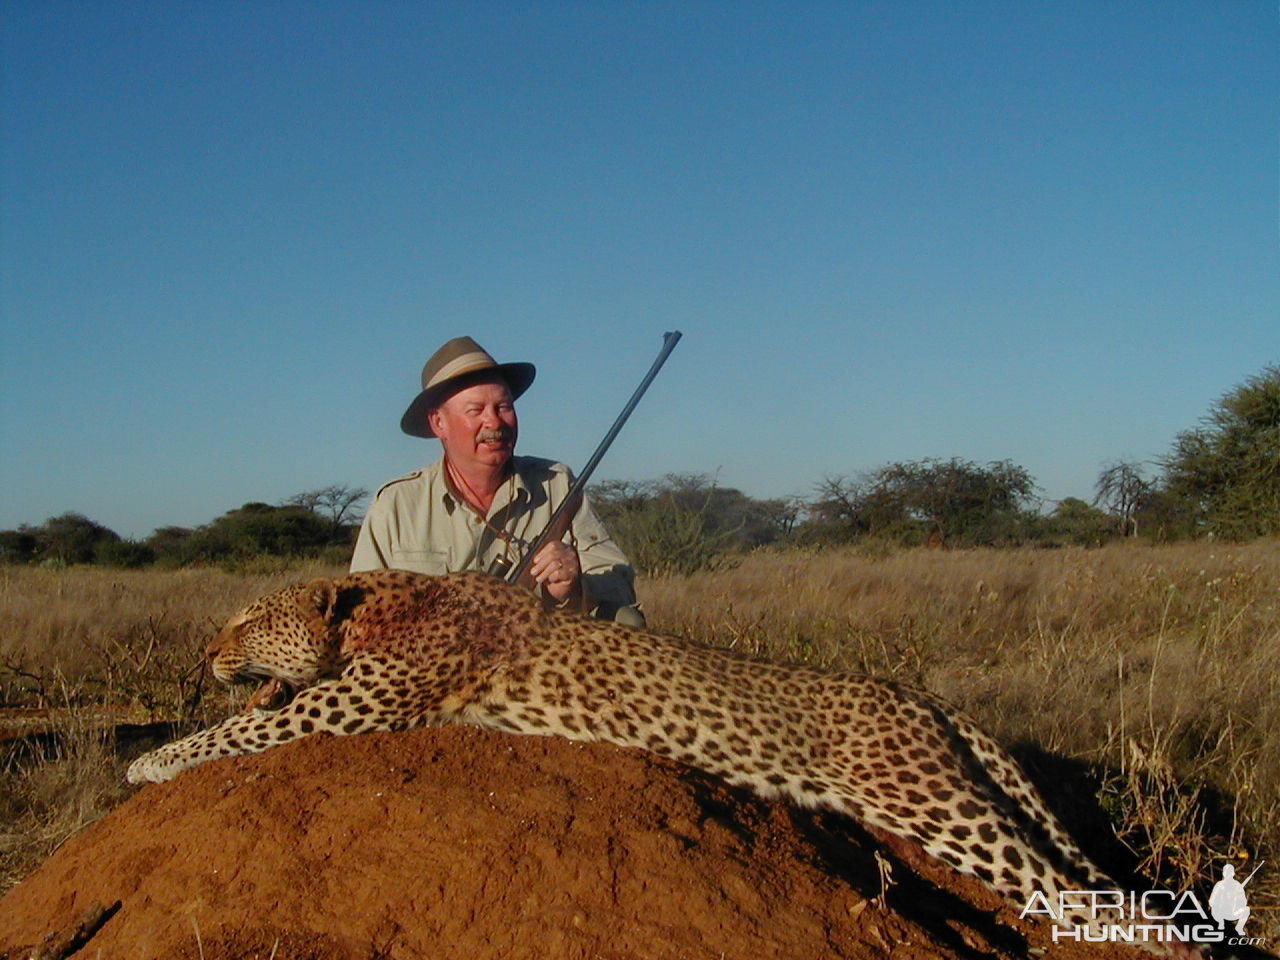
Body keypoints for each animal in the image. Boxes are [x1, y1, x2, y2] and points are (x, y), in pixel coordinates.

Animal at [127, 570, 1131, 947]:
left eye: (248, 621)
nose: (208, 655)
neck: (376, 607)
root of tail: (916, 693)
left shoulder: (351, 705)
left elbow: (237, 733)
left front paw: (149, 764)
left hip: (929, 802)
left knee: (1063, 886)